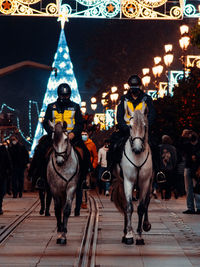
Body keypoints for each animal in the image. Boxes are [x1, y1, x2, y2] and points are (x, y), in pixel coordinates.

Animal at [111, 103, 152, 246]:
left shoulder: (145, 182)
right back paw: (125, 233)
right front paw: (129, 235)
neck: (137, 156)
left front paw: (139, 236)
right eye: (130, 126)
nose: (137, 148)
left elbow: (141, 207)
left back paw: (146, 224)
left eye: (145, 126)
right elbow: (129, 207)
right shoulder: (128, 181)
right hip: (121, 181)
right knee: (124, 204)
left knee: (147, 202)